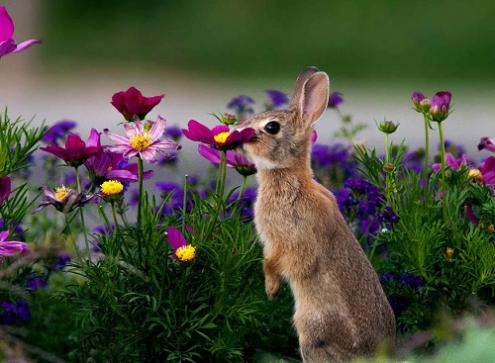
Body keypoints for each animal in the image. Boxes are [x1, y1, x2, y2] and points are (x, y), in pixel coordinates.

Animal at [234, 67, 398, 362]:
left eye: (271, 127)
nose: (235, 131)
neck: (291, 179)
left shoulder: (285, 241)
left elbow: (275, 263)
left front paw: (271, 291)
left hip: (311, 335)